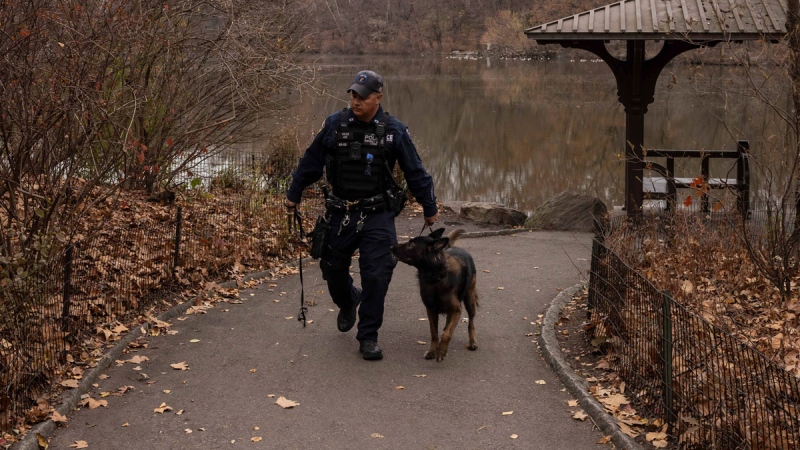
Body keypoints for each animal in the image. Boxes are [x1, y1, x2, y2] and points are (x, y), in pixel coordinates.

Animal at [390, 229, 478, 362]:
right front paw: (432, 351)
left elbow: (446, 334)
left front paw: (441, 351)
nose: (391, 247)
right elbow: (435, 333)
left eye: (411, 244)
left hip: (469, 299)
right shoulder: (431, 310)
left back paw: (472, 342)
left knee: (471, 322)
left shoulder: (457, 309)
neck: (435, 277)